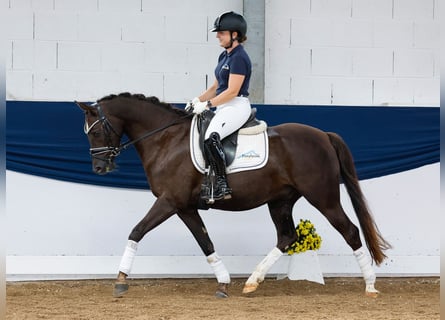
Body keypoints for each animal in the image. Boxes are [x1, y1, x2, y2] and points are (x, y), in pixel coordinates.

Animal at [76, 92, 388, 298]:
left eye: (96, 133)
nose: (99, 168)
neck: (166, 140)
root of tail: (323, 135)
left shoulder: (169, 201)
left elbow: (137, 231)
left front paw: (120, 279)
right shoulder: (185, 207)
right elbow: (206, 242)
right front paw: (224, 282)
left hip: (323, 197)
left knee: (350, 231)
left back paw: (370, 285)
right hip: (280, 201)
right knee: (287, 237)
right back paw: (252, 281)